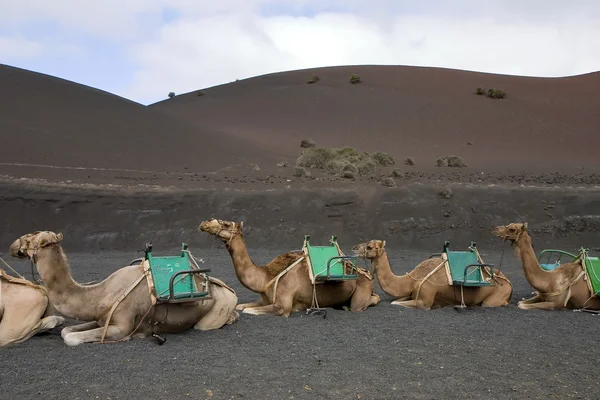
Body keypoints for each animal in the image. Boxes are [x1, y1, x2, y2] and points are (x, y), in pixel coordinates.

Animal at [9, 231, 239, 346]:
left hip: (215, 311)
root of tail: (227, 290)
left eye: (32, 238)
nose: (13, 246)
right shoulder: (101, 319)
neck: (99, 294)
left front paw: (135, 336)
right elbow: (66, 331)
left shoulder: (121, 325)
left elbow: (71, 339)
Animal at [199, 219, 382, 316]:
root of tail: (367, 275)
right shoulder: (265, 299)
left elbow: (249, 311)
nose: (205, 223)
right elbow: (240, 306)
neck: (266, 277)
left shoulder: (282, 305)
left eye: (226, 224)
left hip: (361, 294)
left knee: (364, 303)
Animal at [354, 238, 512, 310]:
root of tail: (508, 282)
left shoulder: (424, 301)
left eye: (369, 247)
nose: (354, 248)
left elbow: (395, 302)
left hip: (493, 299)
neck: (412, 280)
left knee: (489, 304)